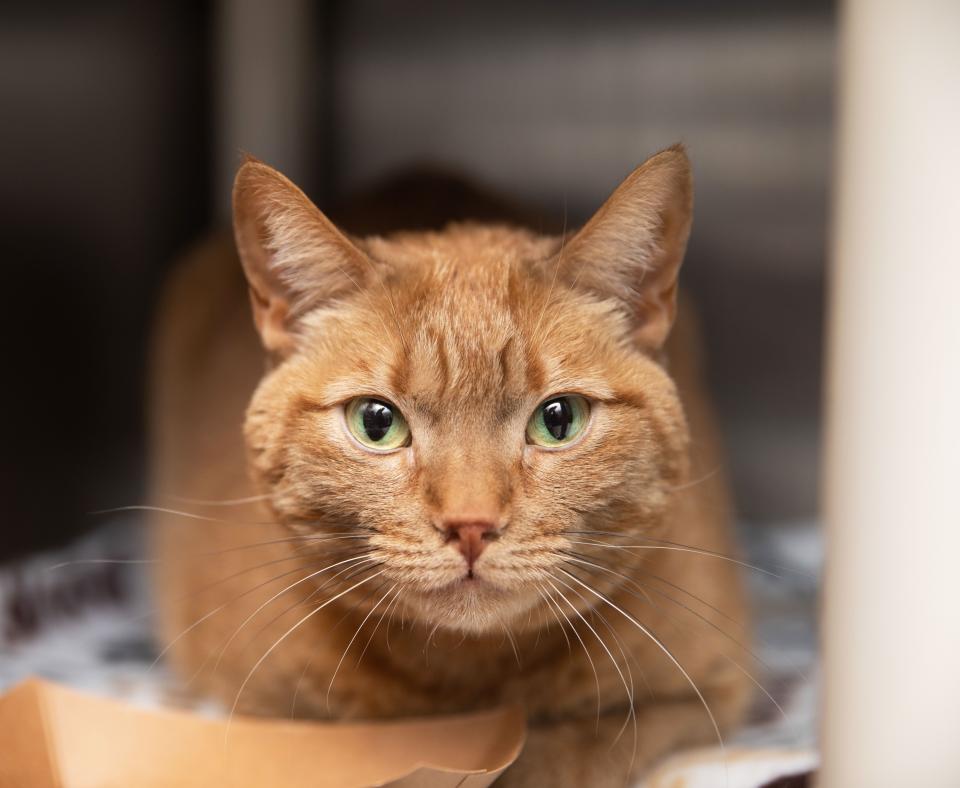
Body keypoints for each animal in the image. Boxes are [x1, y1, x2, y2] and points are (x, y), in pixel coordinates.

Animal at [148, 146, 752, 780]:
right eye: (376, 422)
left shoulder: (701, 695)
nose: (470, 527)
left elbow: (576, 749)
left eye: (559, 420)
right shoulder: (267, 714)